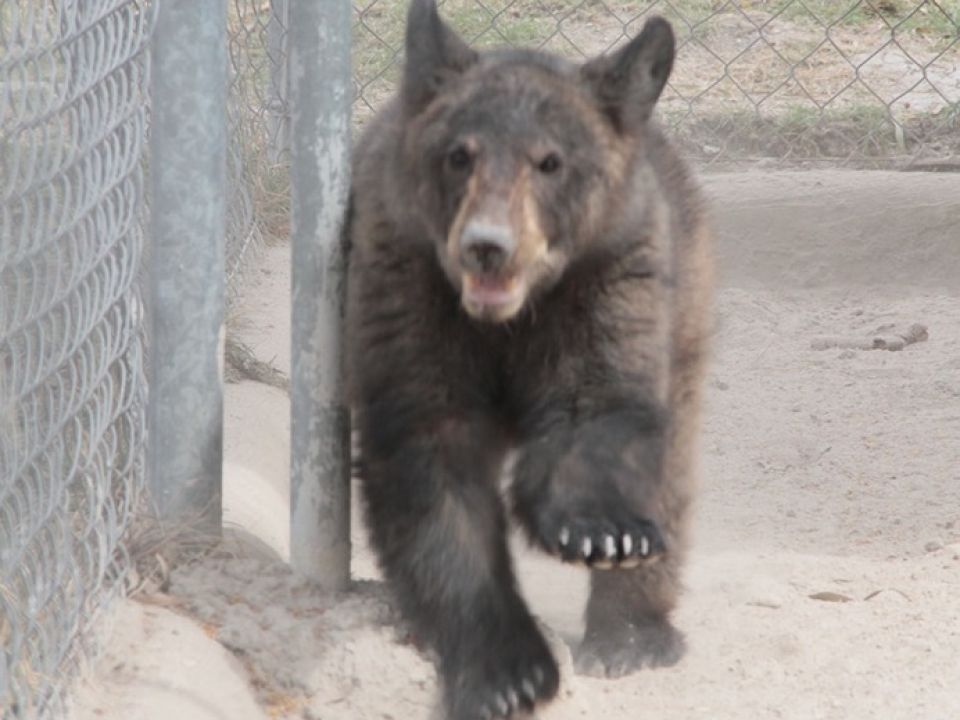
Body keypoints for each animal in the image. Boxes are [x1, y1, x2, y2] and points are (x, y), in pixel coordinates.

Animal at [343, 1, 713, 718]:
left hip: (684, 315)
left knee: (672, 463)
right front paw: (505, 675)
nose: (489, 246)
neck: (508, 319)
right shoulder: (404, 285)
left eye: (550, 161)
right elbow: (434, 473)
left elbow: (595, 411)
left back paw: (635, 636)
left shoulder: (611, 280)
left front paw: (602, 535)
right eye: (459, 154)